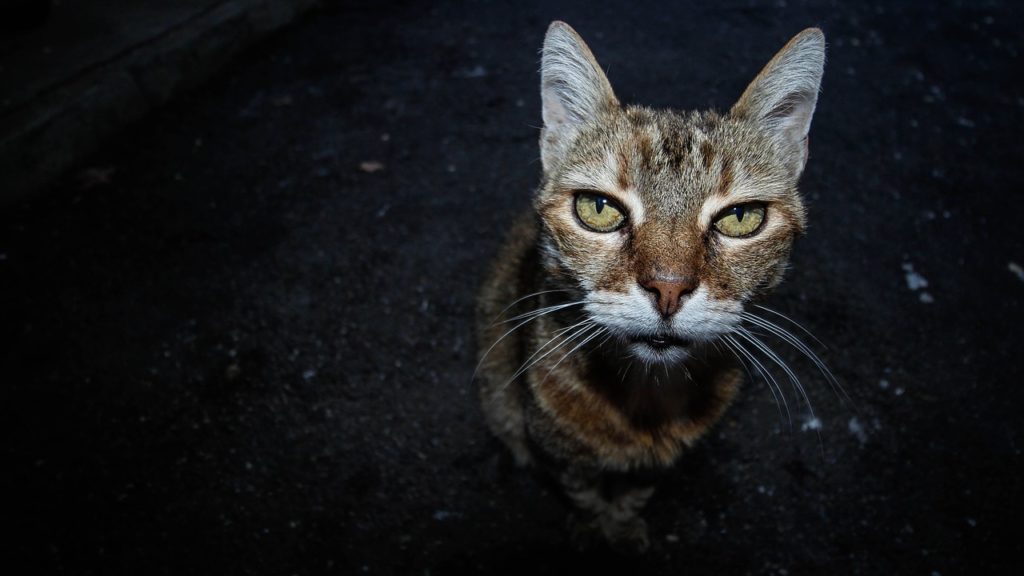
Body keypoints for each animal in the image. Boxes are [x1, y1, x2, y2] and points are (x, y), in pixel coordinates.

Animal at [475, 22, 827, 549]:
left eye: (741, 217)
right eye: (598, 208)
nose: (668, 289)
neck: (644, 399)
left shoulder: (657, 464)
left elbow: (636, 491)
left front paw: (621, 524)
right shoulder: (559, 454)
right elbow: (581, 491)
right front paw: (593, 526)